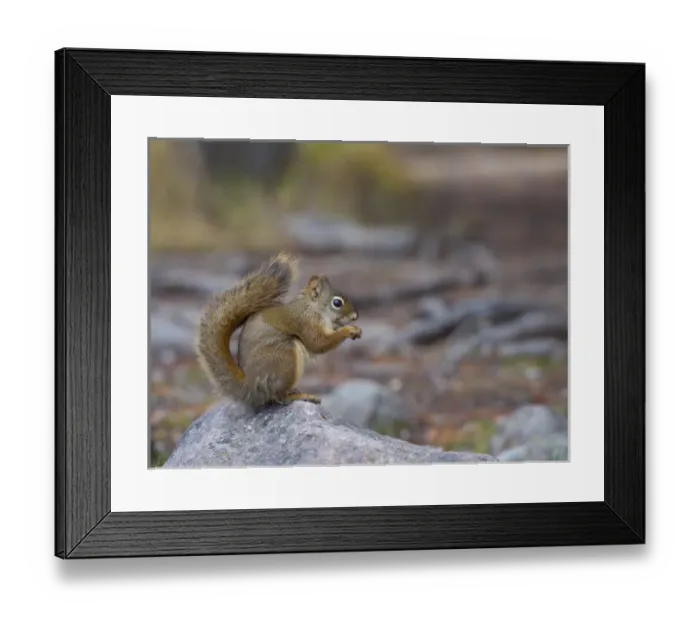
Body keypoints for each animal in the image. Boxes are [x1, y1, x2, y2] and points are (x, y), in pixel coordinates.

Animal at [195, 252, 362, 411]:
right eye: (337, 303)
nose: (355, 316)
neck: (312, 308)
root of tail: (251, 390)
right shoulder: (306, 323)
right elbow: (318, 343)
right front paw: (348, 330)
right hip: (284, 357)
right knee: (279, 396)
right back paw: (300, 396)